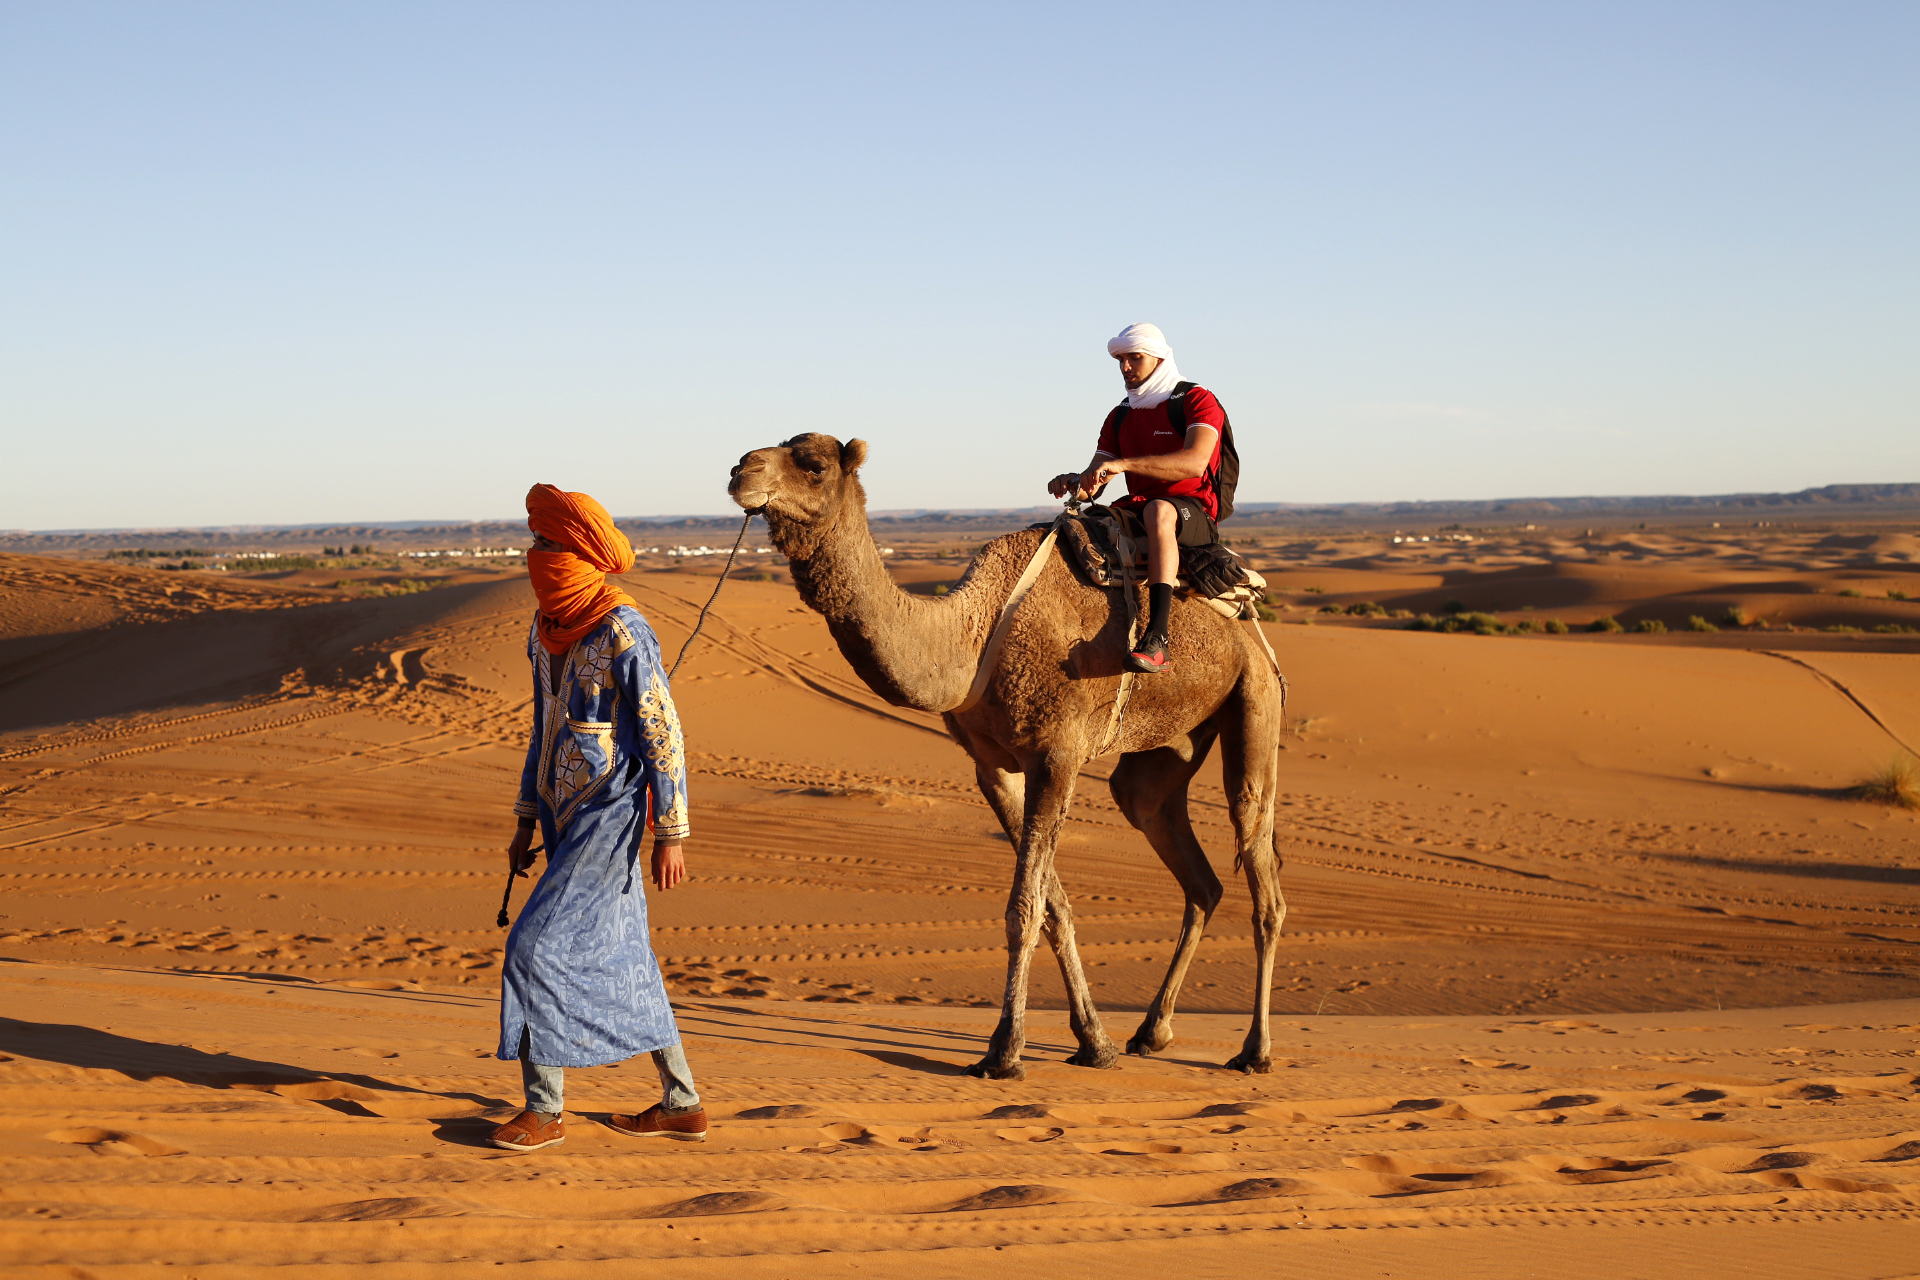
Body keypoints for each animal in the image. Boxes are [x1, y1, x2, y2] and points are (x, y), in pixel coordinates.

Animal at [733, 435, 1290, 1074]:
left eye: (814, 465)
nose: (741, 470)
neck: (970, 637)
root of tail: (1247, 616)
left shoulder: (1057, 754)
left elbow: (1024, 906)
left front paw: (1004, 1050)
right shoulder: (993, 767)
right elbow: (1053, 905)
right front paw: (1093, 1042)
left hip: (1254, 696)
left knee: (1260, 860)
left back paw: (1254, 1050)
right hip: (1170, 742)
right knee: (1183, 857)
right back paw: (1152, 1031)